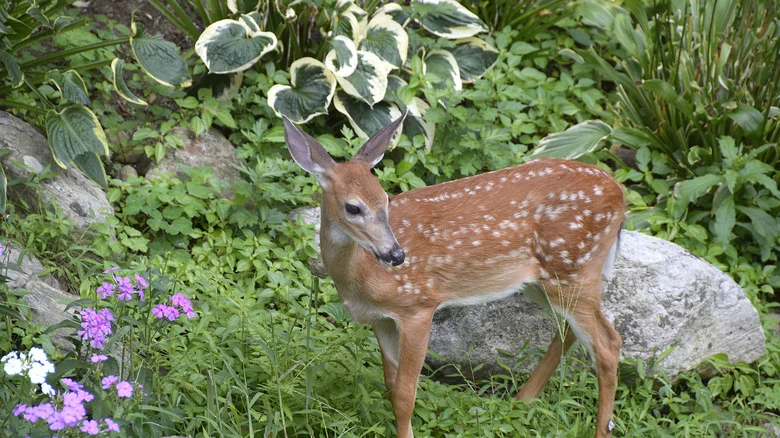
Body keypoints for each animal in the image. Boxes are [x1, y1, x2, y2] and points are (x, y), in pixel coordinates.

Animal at [283, 111, 625, 438]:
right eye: (353, 208)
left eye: (385, 200)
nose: (396, 255)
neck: (363, 277)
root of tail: (619, 194)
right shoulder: (380, 319)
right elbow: (391, 386)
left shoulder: (418, 306)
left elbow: (405, 394)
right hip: (544, 280)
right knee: (572, 332)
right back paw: (520, 401)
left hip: (572, 267)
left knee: (608, 344)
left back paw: (599, 429)